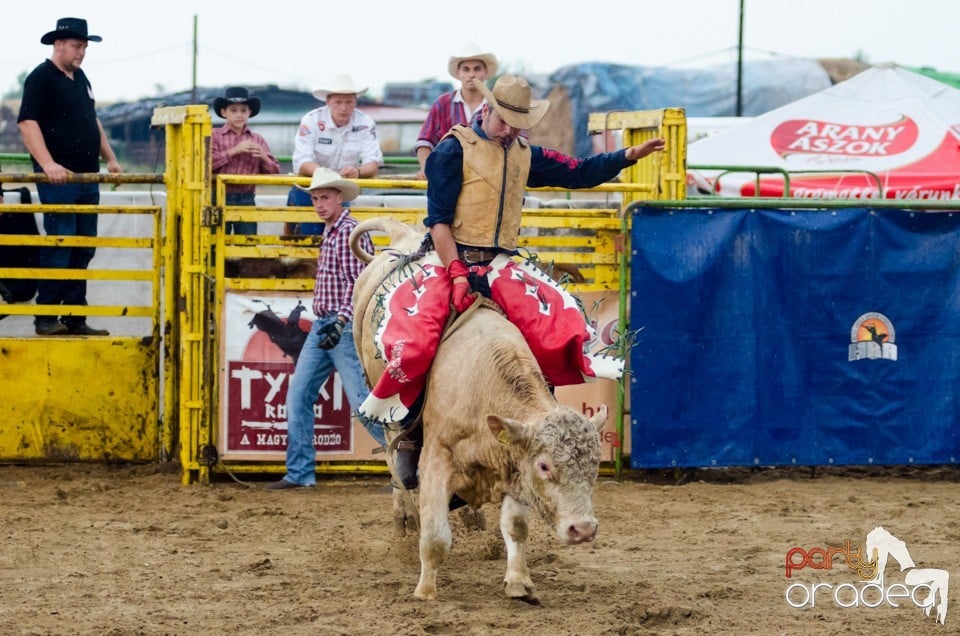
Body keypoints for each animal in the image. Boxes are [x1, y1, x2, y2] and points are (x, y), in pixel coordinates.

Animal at [348, 217, 604, 600]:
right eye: (544, 466)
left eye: (596, 465)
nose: (583, 529)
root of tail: (402, 233)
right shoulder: (437, 457)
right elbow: (435, 536)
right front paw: (425, 591)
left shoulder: (513, 458)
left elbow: (515, 526)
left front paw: (518, 582)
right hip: (386, 403)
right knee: (396, 458)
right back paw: (404, 517)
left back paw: (471, 516)